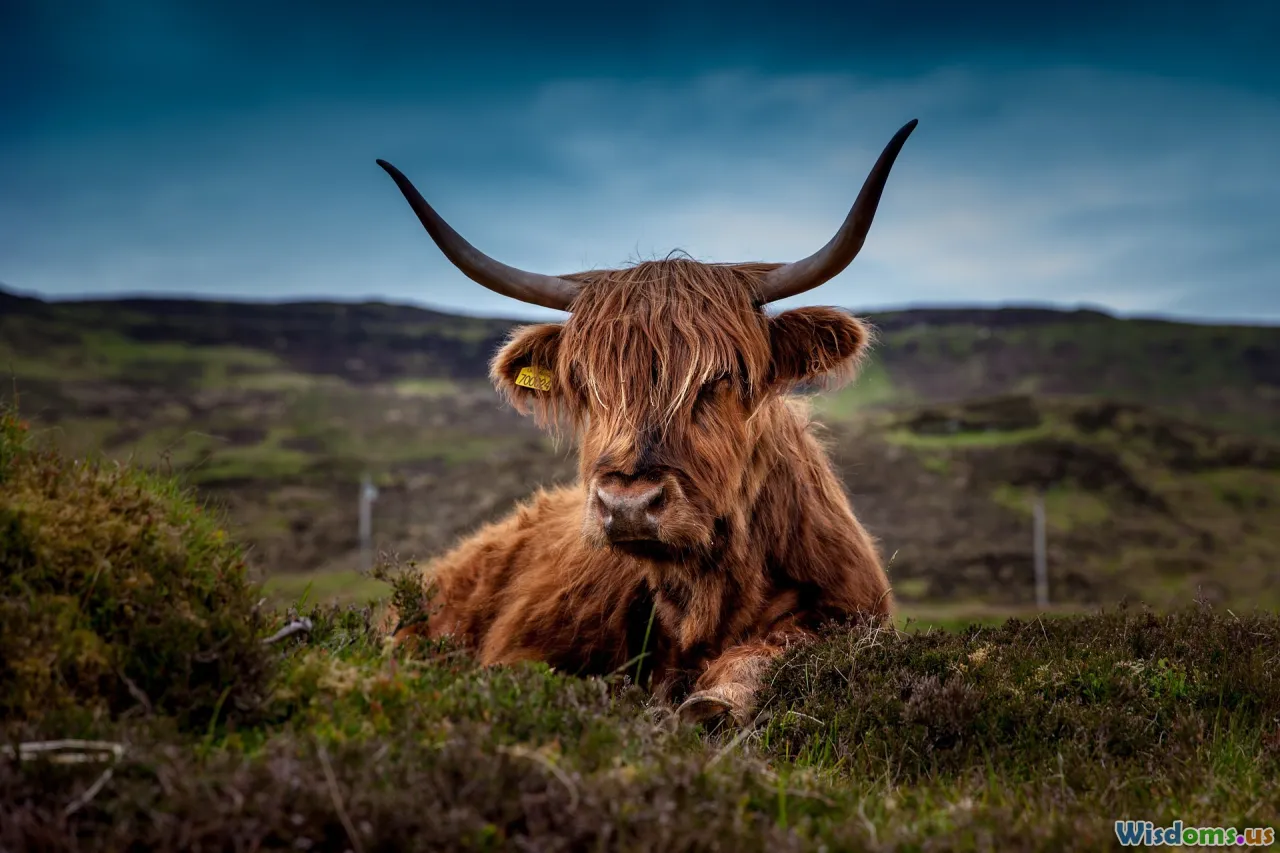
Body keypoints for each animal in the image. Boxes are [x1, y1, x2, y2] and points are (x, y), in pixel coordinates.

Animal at [375, 119, 917, 726]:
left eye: (722, 376)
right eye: (586, 383)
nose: (628, 504)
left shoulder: (850, 614)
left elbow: (775, 652)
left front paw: (714, 701)